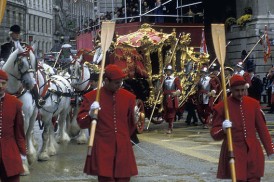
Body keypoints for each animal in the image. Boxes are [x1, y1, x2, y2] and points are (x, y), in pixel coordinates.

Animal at [2, 47, 38, 175]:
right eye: (21, 62)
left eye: (34, 61)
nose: (31, 83)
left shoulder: (24, 117)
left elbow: (22, 136)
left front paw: (23, 165)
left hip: (33, 115)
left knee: (28, 133)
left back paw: (30, 155)